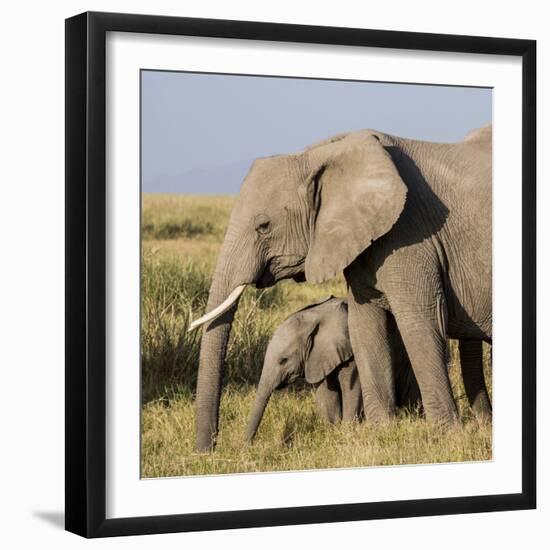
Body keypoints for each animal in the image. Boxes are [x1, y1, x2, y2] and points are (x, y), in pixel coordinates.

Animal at [247, 298, 422, 444]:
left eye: (283, 360)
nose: (249, 445)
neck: (315, 316)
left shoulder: (350, 353)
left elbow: (352, 388)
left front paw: (347, 430)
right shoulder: (318, 357)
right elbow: (326, 392)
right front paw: (333, 431)